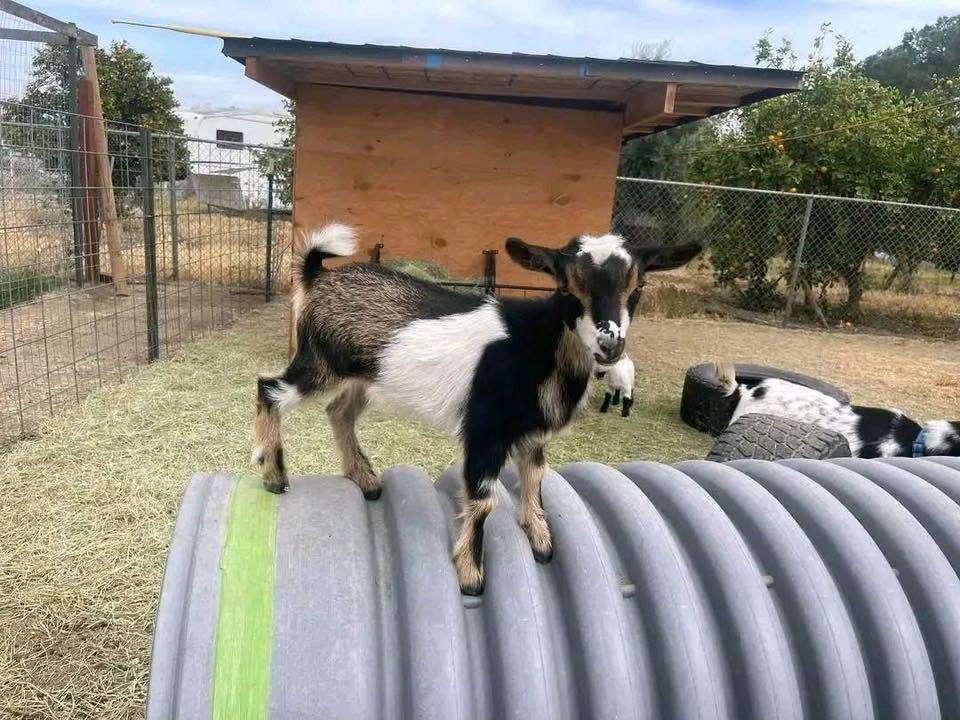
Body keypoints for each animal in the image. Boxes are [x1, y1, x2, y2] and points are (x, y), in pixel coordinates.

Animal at [253, 223, 702, 594]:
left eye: (638, 285)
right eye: (564, 286)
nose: (610, 345)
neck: (538, 346)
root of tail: (319, 276)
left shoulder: (532, 433)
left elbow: (536, 477)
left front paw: (541, 540)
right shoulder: (486, 429)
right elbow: (485, 500)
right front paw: (471, 575)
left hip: (365, 377)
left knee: (339, 412)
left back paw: (365, 480)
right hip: (320, 361)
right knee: (270, 389)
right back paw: (274, 476)